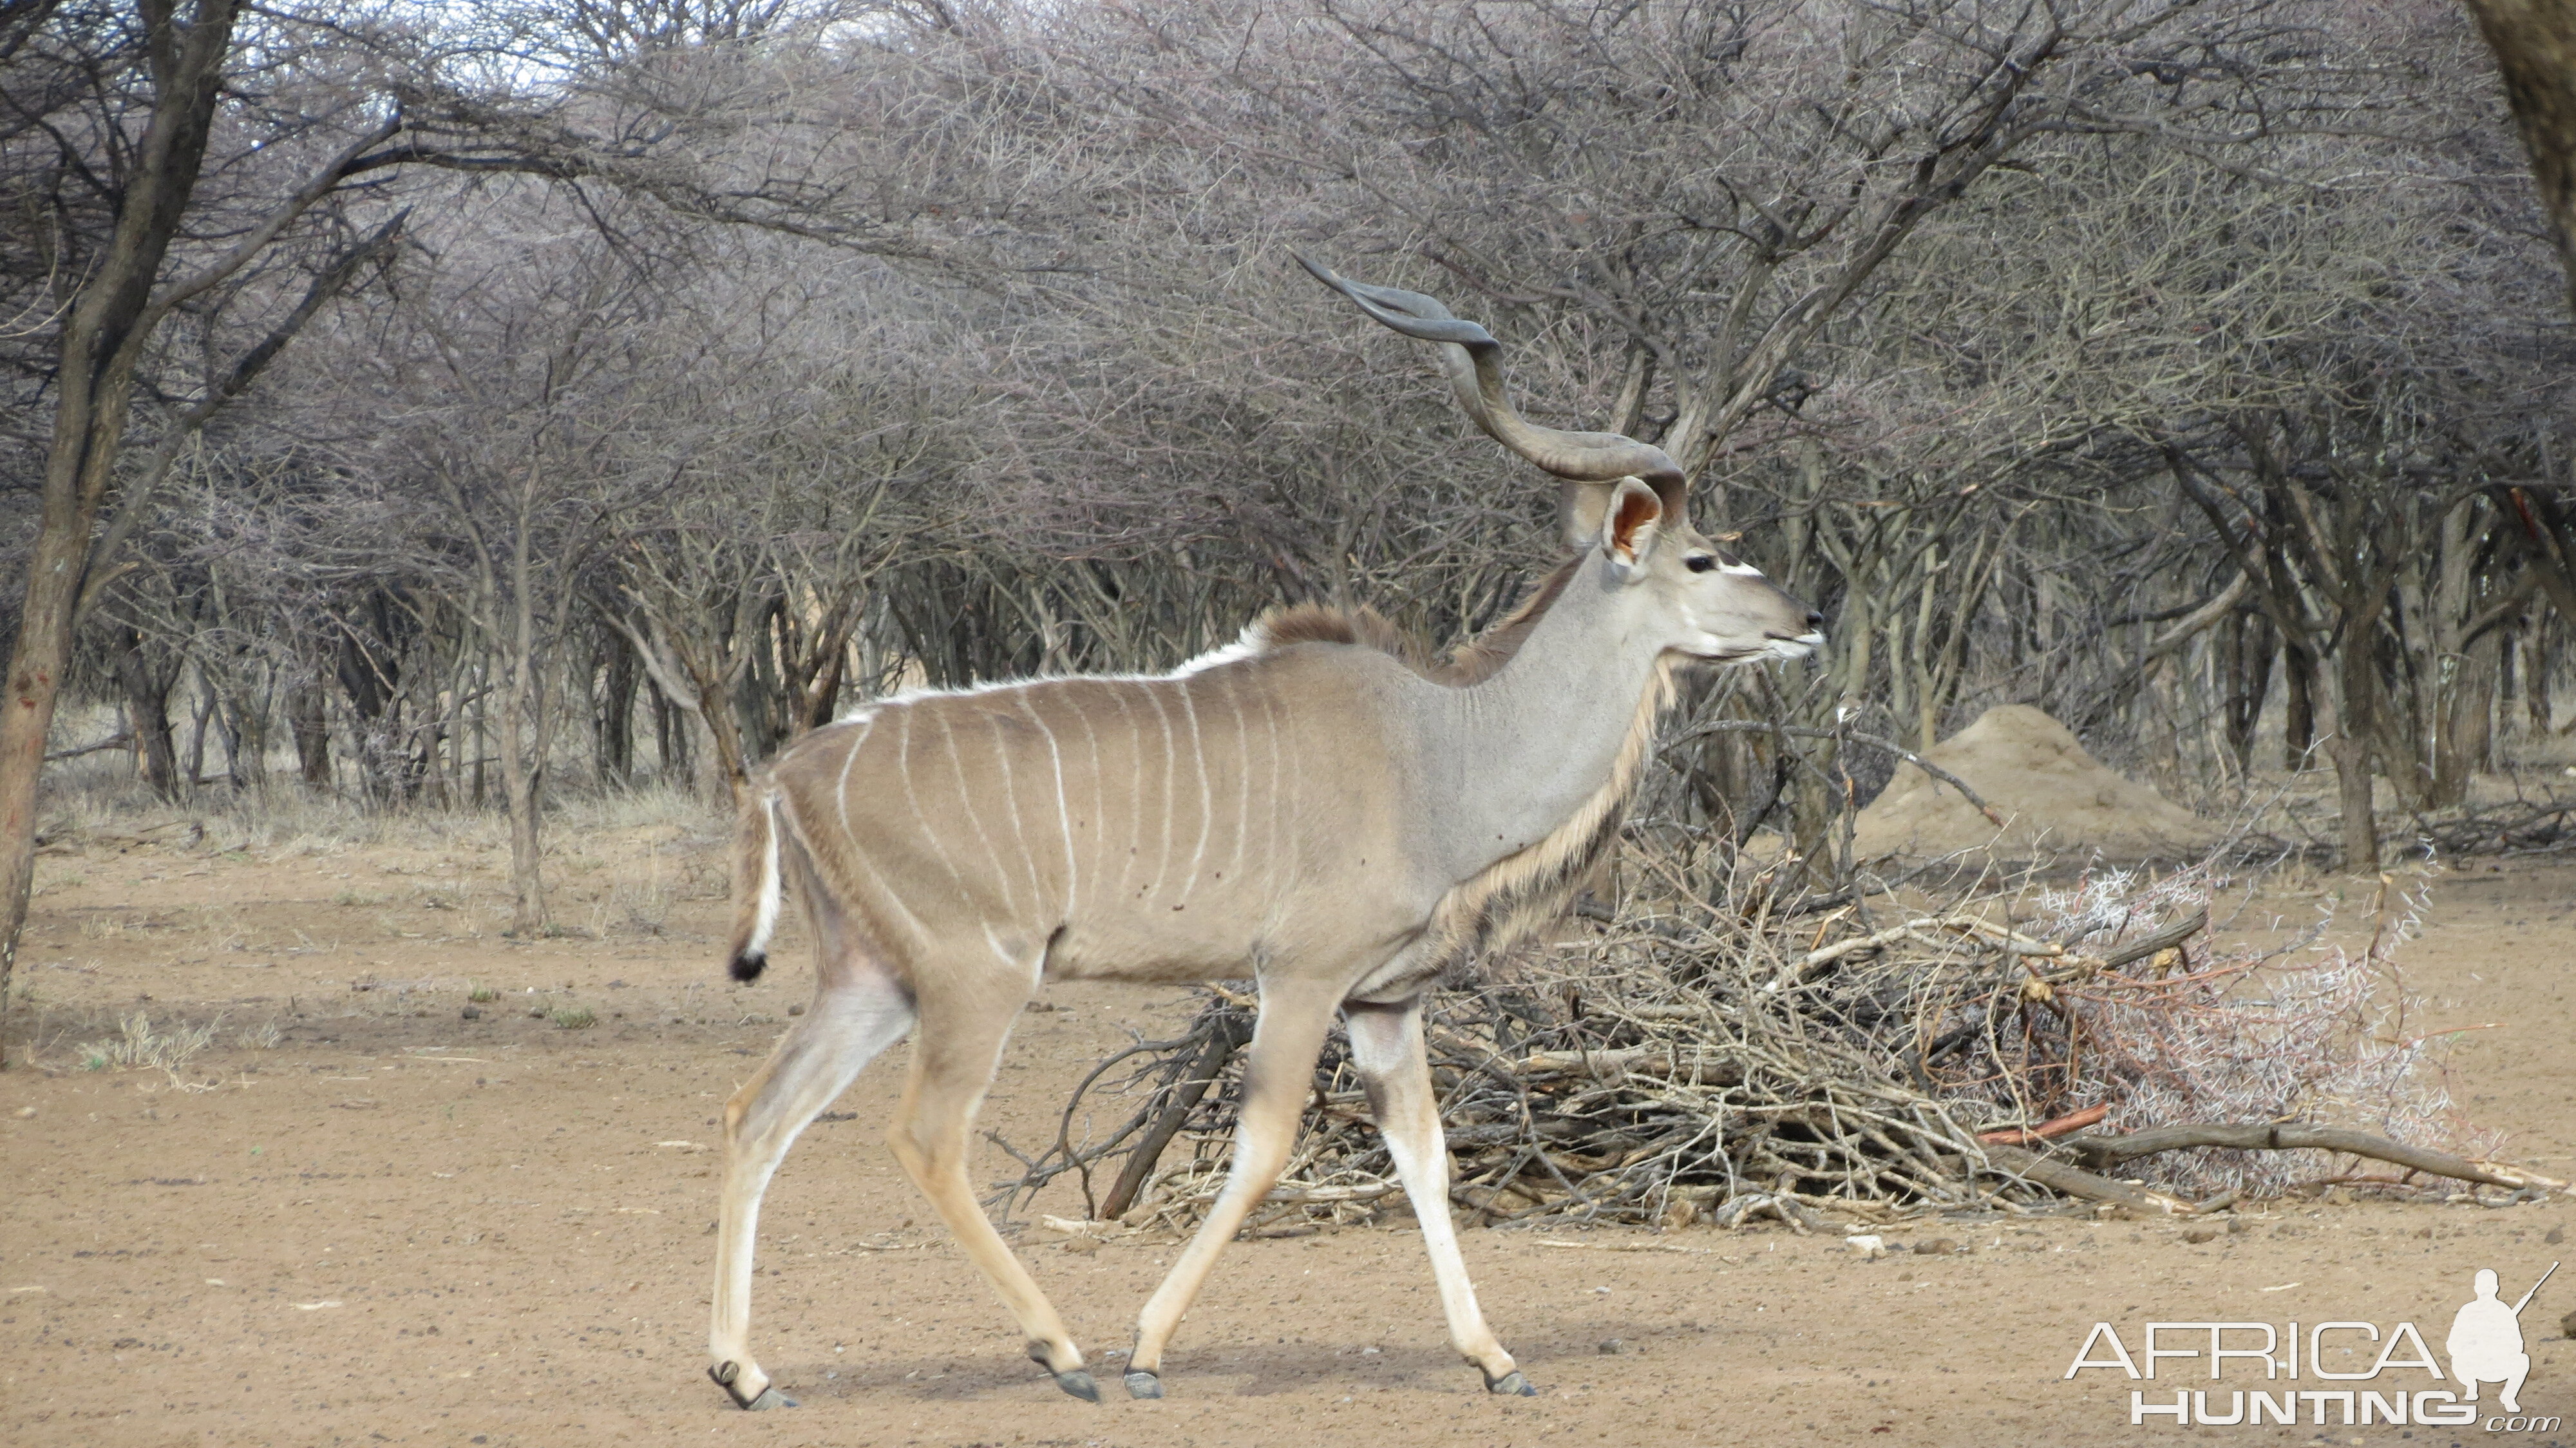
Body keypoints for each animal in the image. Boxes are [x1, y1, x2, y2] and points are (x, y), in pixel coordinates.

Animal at [706, 254, 1834, 1402]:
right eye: (1701, 560)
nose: (1809, 619)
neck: (1441, 747)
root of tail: (789, 770)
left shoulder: (1385, 1001)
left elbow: (1426, 1156)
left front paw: (1495, 1359)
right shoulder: (1298, 977)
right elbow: (1264, 1146)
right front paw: (1148, 1352)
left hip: (873, 982)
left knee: (758, 1114)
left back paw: (746, 1372)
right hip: (979, 977)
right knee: (925, 1137)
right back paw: (1062, 1353)